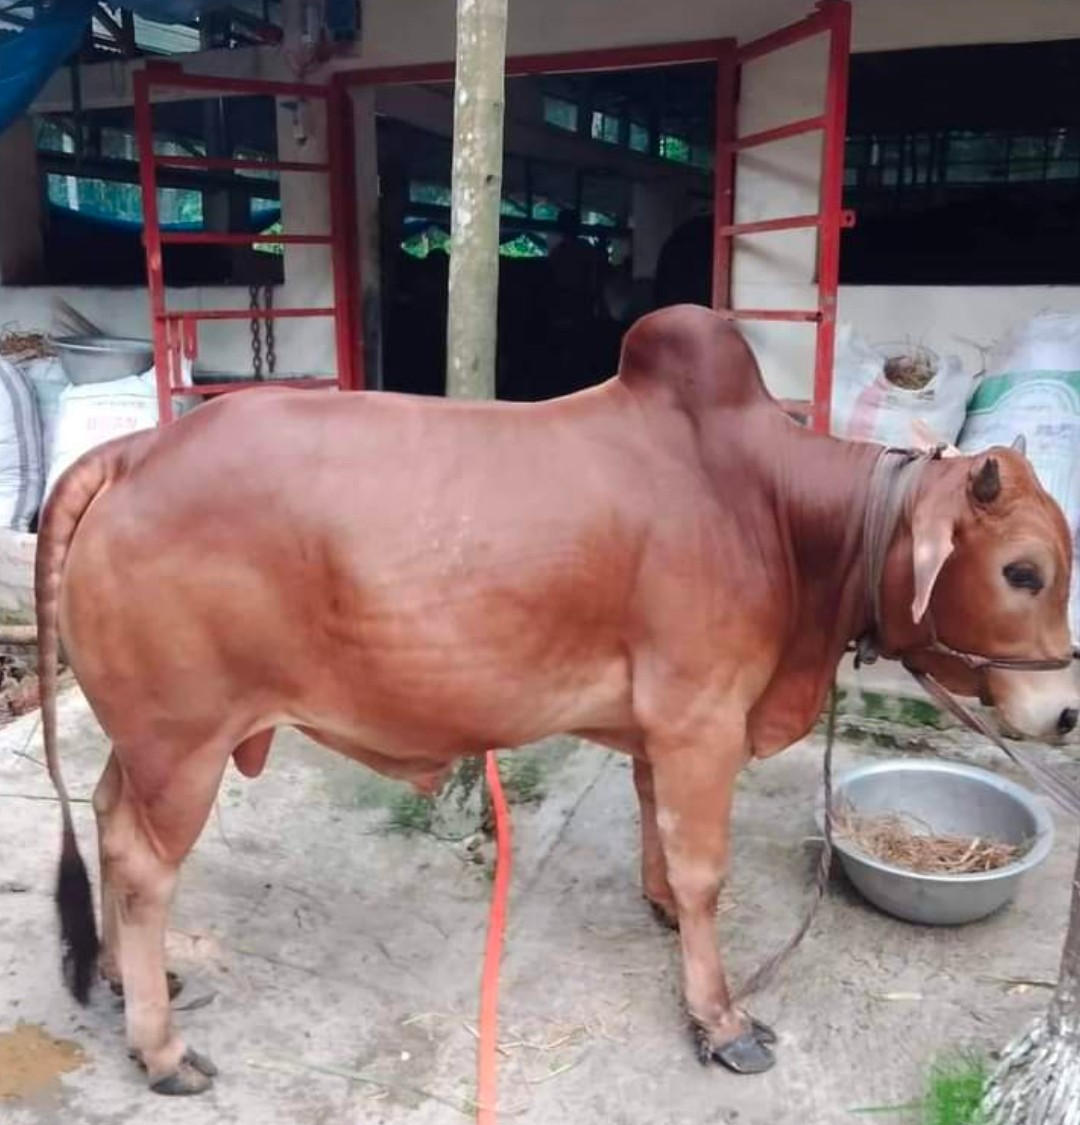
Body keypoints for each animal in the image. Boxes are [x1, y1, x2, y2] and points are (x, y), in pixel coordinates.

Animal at [36, 305, 1077, 1094]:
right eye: (1023, 570)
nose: (1064, 710)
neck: (774, 512)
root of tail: (136, 450)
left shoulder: (663, 729)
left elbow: (660, 832)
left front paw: (663, 911)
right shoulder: (702, 720)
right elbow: (706, 869)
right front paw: (719, 1015)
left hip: (143, 744)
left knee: (105, 817)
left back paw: (134, 980)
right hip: (184, 746)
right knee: (143, 866)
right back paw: (161, 1047)